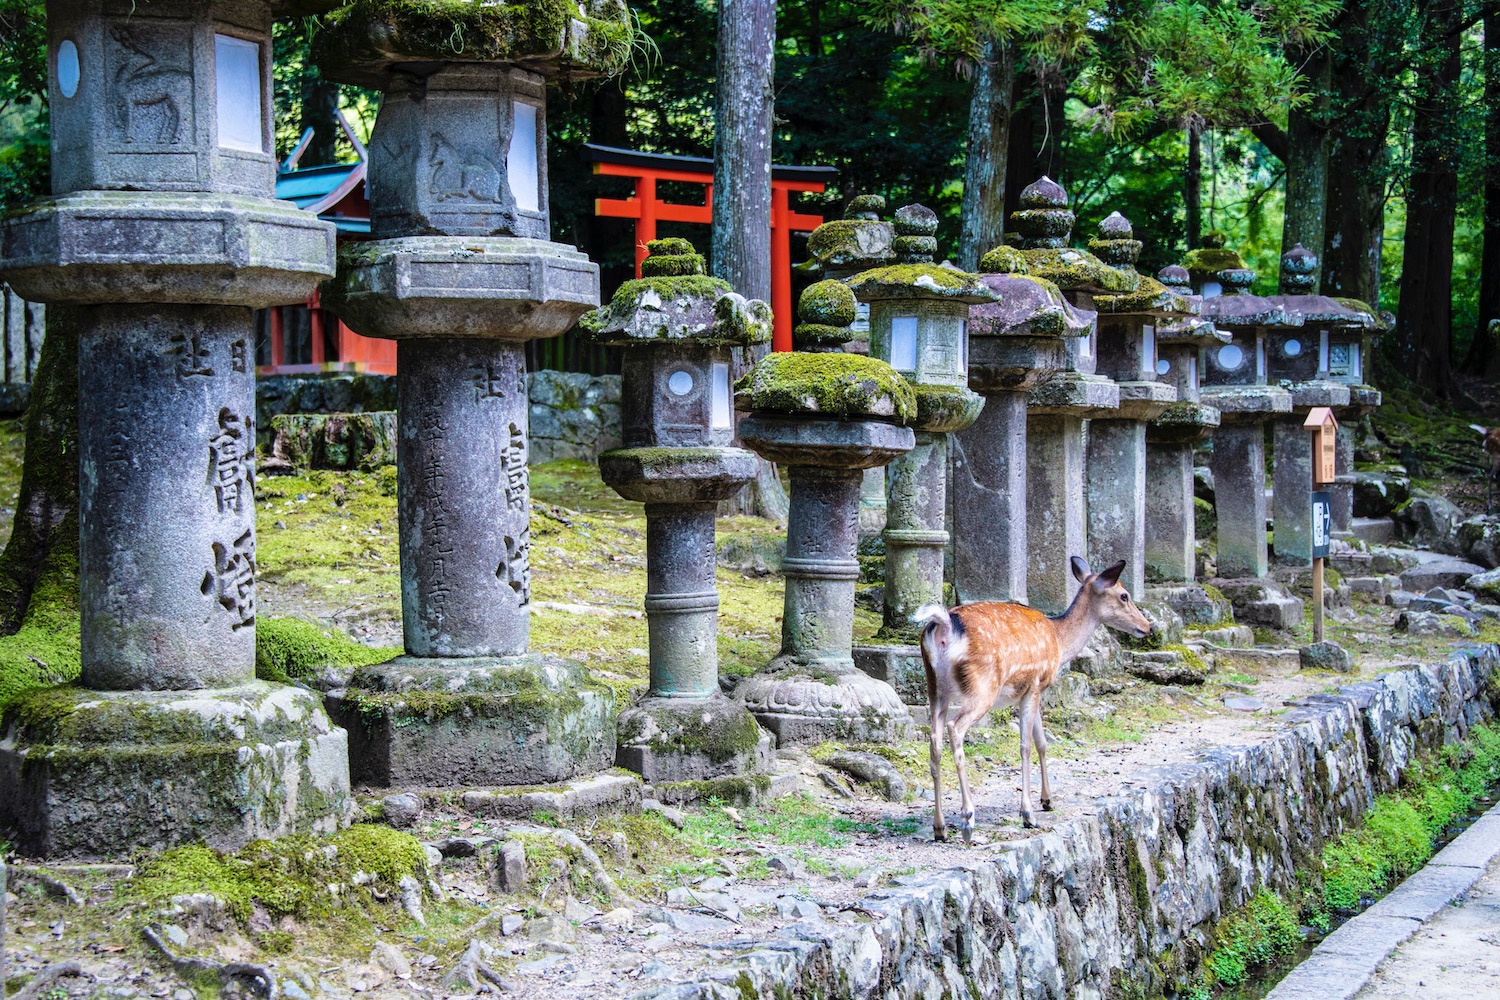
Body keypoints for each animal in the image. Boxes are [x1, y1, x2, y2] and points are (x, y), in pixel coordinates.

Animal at [912, 560, 1146, 839]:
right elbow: (1026, 746)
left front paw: (1047, 800)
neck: (1059, 640)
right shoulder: (1035, 683)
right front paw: (1028, 814)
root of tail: (944, 625)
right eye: (1124, 595)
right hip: (982, 687)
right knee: (955, 728)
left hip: (935, 687)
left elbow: (1042, 742)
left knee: (934, 741)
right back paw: (968, 817)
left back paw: (940, 827)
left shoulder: (1030, 691)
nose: (1147, 626)